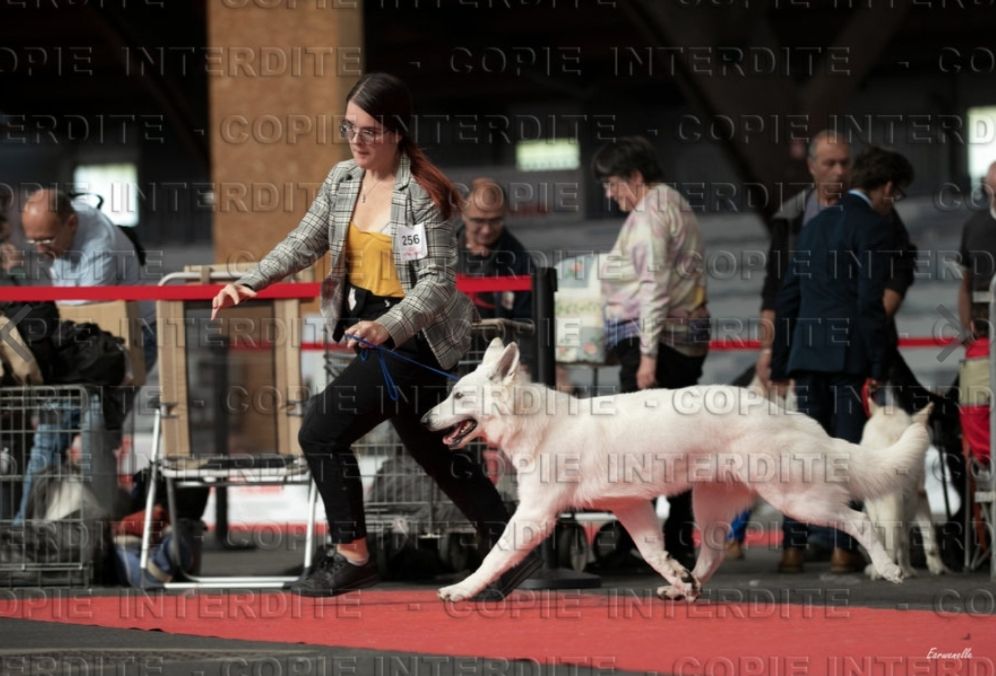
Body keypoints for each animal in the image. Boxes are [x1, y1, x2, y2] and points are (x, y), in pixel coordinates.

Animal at [421, 339, 932, 602]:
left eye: (459, 396)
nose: (424, 420)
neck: (535, 421)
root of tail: (792, 415)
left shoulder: (535, 515)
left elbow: (494, 557)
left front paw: (462, 589)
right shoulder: (631, 508)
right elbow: (653, 552)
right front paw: (674, 575)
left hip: (799, 500)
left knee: (859, 521)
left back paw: (889, 568)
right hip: (713, 504)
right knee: (714, 551)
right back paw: (687, 587)